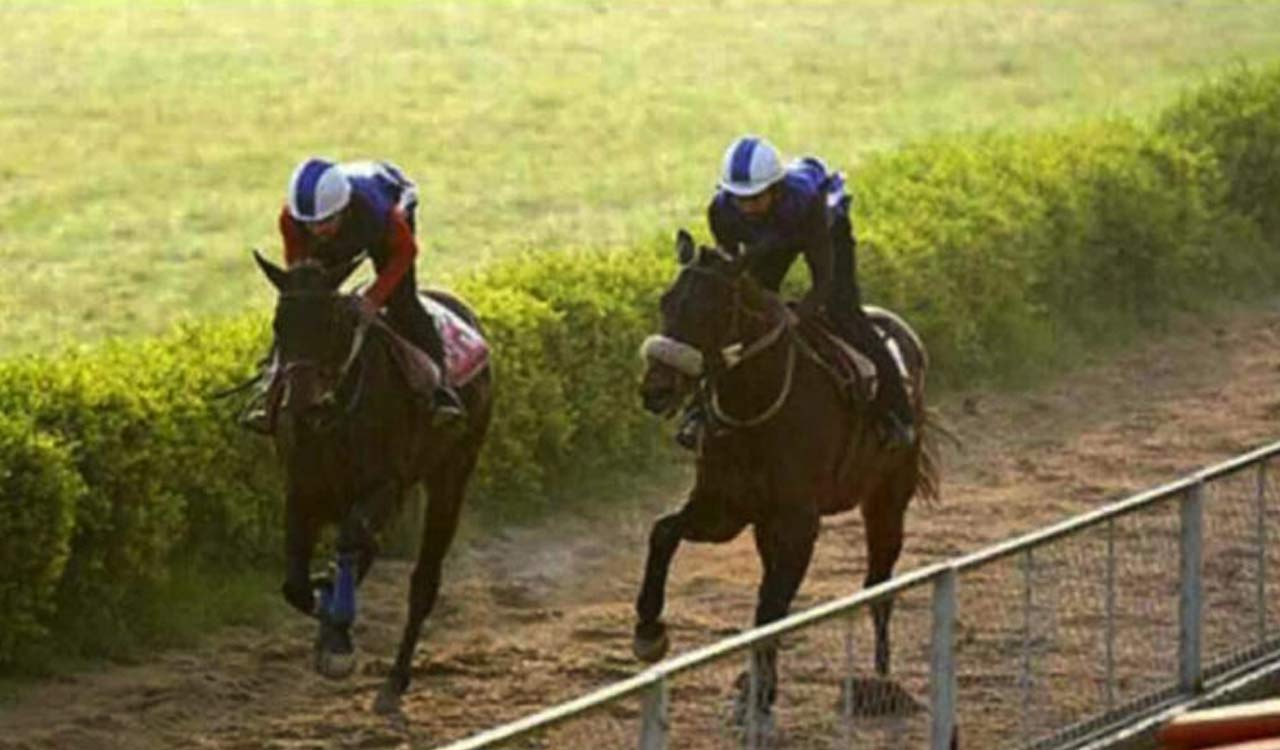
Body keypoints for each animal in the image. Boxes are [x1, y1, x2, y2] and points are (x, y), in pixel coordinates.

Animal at [252, 251, 493, 715]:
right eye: (278, 324)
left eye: (330, 323)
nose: (301, 408)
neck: (333, 420)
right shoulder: (303, 490)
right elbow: (295, 586)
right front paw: (326, 607)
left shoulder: (384, 486)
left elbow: (349, 543)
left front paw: (336, 635)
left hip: (452, 472)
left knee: (423, 581)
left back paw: (396, 678)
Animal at [633, 230, 940, 720]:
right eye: (666, 300)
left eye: (712, 309)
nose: (656, 389)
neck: (755, 406)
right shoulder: (724, 508)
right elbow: (663, 532)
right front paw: (648, 631)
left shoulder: (799, 522)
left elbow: (770, 608)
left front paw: (760, 693)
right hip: (767, 523)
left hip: (888, 497)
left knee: (879, 583)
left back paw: (880, 681)